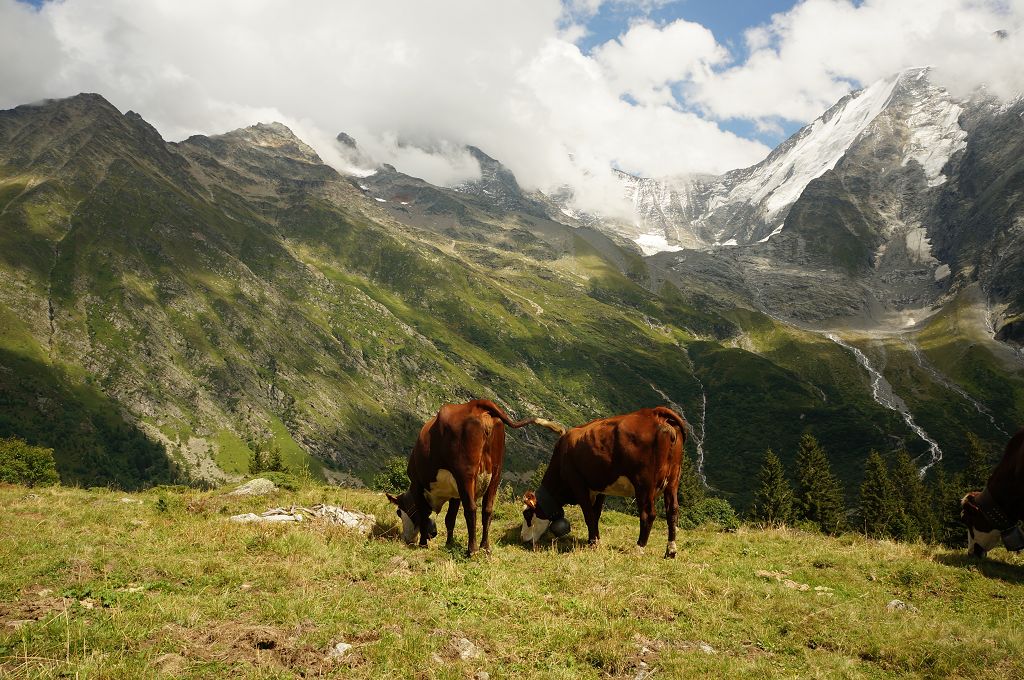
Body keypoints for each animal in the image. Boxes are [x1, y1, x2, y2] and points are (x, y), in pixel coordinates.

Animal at [385, 401, 565, 557]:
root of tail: (476, 404)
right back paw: (485, 547)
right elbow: (450, 519)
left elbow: (423, 516)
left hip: (466, 474)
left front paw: (423, 543)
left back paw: (472, 549)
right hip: (495, 474)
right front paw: (449, 543)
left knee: (471, 509)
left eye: (399, 512)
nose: (407, 539)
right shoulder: (455, 493)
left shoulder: (418, 484)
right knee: (487, 510)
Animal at [520, 409, 688, 557]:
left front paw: (594, 543)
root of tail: (654, 413)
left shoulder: (577, 482)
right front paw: (592, 540)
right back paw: (671, 551)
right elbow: (596, 514)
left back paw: (638, 549)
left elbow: (588, 515)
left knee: (648, 514)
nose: (522, 538)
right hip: (674, 479)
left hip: (644, 483)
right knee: (672, 511)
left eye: (527, 514)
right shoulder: (599, 488)